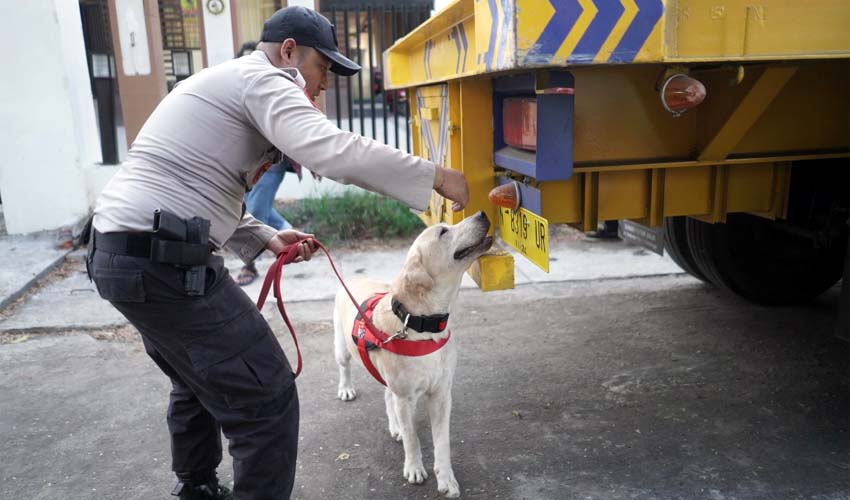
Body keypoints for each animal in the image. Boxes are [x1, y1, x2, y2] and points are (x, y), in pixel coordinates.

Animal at [332, 210, 490, 496]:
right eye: (443, 232)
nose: (482, 213)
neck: (422, 324)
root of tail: (354, 278)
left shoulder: (441, 395)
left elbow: (442, 443)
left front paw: (446, 478)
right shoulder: (405, 398)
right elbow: (412, 437)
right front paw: (414, 468)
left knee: (387, 397)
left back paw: (394, 426)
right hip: (342, 348)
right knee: (345, 367)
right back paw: (346, 389)